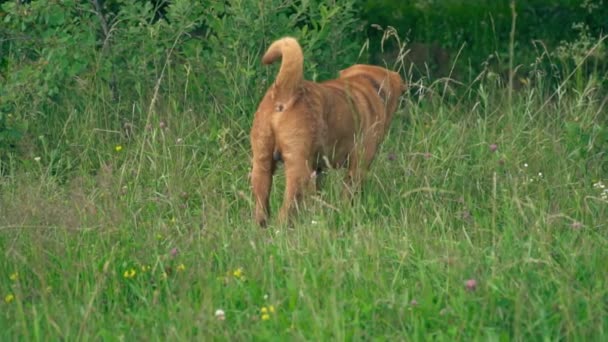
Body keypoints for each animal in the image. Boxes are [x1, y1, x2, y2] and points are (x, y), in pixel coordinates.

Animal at [249, 37, 406, 226]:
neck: (365, 83)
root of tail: (285, 91)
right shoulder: (358, 165)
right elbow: (348, 194)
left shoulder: (319, 169)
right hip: (298, 171)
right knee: (286, 210)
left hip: (262, 164)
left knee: (262, 205)